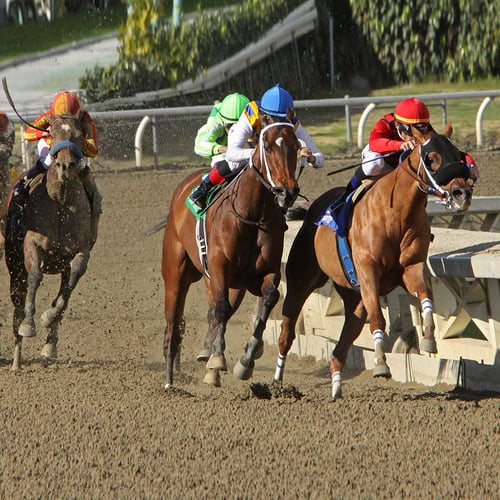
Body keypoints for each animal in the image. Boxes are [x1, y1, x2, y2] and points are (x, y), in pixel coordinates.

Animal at [4, 115, 98, 370]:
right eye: (52, 133)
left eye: (79, 134)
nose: (65, 166)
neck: (61, 202)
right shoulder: (31, 245)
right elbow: (36, 276)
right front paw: (29, 324)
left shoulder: (81, 250)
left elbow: (70, 284)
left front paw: (48, 317)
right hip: (14, 268)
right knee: (17, 303)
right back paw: (16, 359)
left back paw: (49, 344)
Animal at [161, 119, 300, 388]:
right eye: (267, 147)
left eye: (297, 146)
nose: (287, 192)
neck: (253, 215)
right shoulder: (218, 270)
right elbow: (221, 310)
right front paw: (217, 359)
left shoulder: (264, 273)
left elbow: (268, 298)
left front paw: (247, 357)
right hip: (176, 272)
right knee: (174, 321)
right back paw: (171, 380)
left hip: (229, 285)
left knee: (214, 313)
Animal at [274, 124, 472, 398]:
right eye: (431, 158)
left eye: (458, 154)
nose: (462, 193)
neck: (396, 214)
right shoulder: (368, 272)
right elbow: (378, 317)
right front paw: (380, 365)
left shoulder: (411, 267)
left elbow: (425, 297)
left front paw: (428, 338)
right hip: (300, 282)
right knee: (287, 332)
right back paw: (275, 380)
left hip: (353, 298)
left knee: (341, 346)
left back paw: (336, 388)